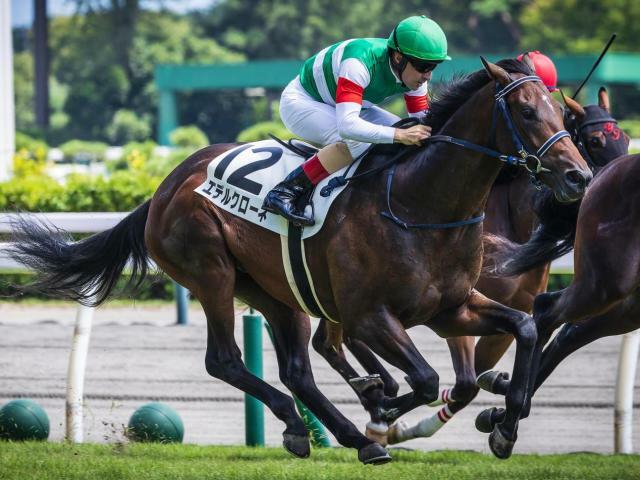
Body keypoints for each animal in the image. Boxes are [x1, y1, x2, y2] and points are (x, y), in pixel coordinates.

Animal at [8, 58, 592, 464]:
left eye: (562, 113)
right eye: (526, 111)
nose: (579, 176)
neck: (418, 204)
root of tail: (166, 185)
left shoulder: (452, 306)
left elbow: (520, 331)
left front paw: (505, 423)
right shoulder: (368, 316)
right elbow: (426, 379)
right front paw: (383, 408)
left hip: (275, 290)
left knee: (295, 369)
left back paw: (343, 434)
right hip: (211, 272)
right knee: (225, 361)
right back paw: (331, 426)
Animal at [312, 87, 628, 446]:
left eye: (625, 139)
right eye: (596, 141)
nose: (590, 181)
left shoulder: (506, 306)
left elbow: (479, 373)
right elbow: (466, 379)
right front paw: (403, 421)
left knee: (328, 341)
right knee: (344, 337)